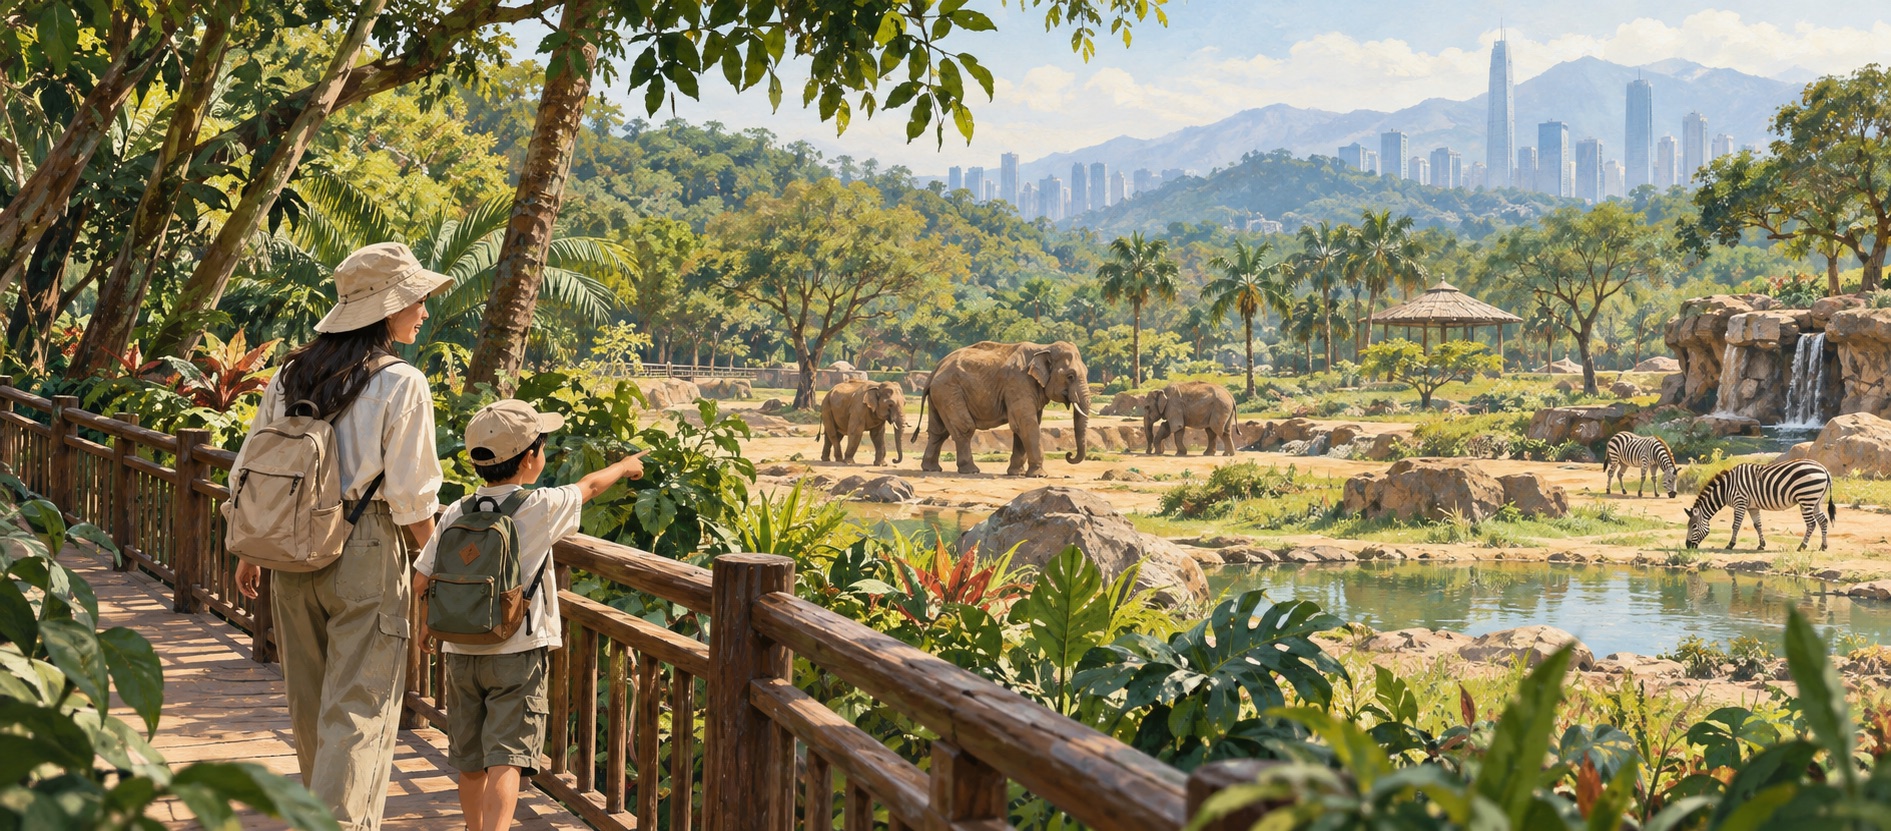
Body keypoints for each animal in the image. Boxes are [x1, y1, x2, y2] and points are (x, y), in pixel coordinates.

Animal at [915, 341, 1091, 476]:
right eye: (1070, 376)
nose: (1069, 454)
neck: (1043, 347)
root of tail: (935, 369)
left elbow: (1023, 426)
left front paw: (1017, 473)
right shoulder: (1018, 382)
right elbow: (1026, 423)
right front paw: (1039, 475)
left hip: (940, 394)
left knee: (939, 431)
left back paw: (931, 469)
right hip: (949, 391)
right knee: (964, 428)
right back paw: (971, 471)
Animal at [1684, 459, 1836, 551]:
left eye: (1694, 526)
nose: (1687, 546)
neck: (1726, 489)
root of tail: (1824, 469)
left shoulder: (1740, 502)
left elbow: (1736, 525)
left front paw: (1730, 544)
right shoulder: (1752, 506)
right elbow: (1758, 525)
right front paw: (1762, 545)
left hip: (1806, 499)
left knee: (1811, 524)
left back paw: (1802, 546)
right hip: (1815, 500)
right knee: (1823, 520)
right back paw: (1824, 546)